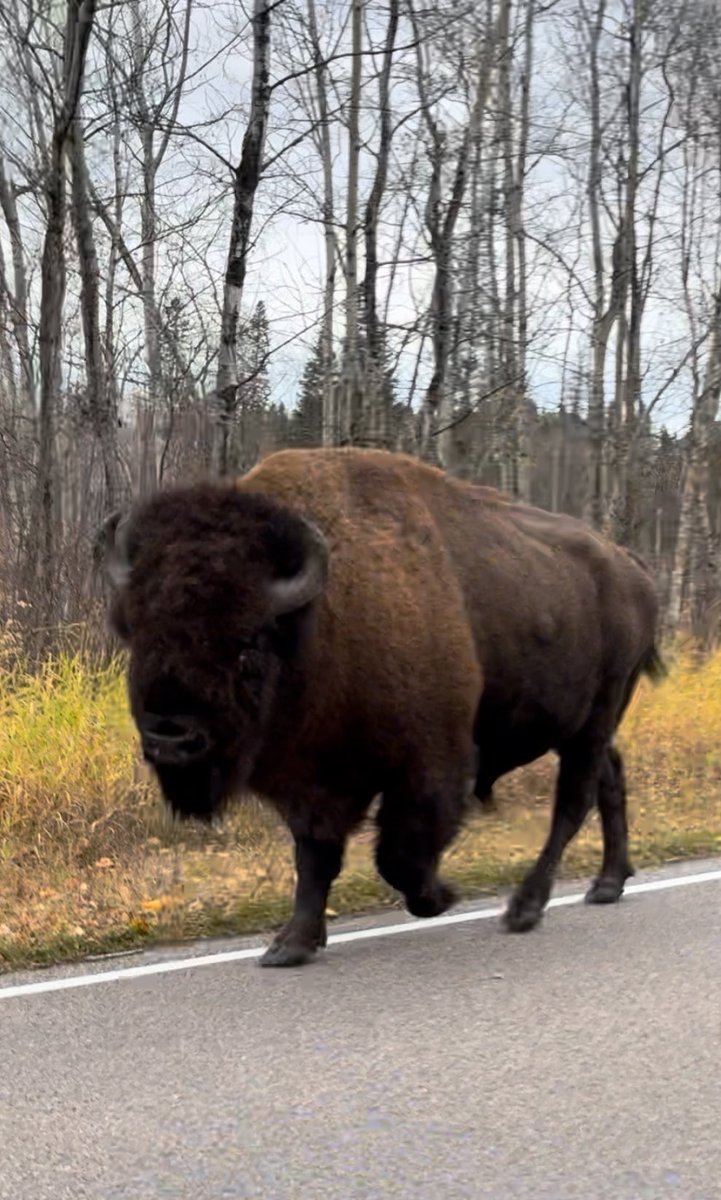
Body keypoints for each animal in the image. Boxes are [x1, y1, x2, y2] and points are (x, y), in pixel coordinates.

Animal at [96, 447, 664, 967]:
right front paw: (290, 946)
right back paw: (608, 884)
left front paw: (440, 896)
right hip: (583, 727)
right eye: (138, 634)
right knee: (610, 780)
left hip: (593, 721)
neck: (320, 621)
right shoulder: (311, 781)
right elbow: (315, 857)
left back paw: (525, 908)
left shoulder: (430, 765)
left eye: (247, 642)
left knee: (572, 803)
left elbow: (398, 853)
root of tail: (633, 568)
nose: (170, 736)